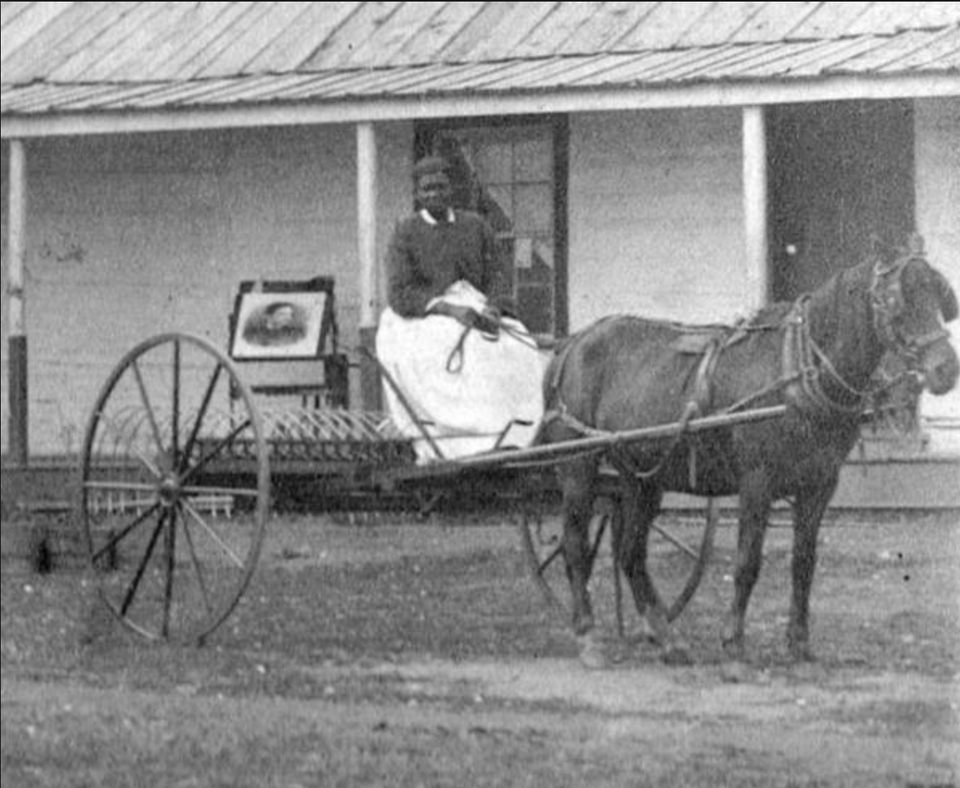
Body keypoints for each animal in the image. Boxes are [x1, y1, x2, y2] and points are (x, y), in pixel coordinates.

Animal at [540, 242, 960, 664]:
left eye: (939, 296)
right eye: (896, 300)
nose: (947, 369)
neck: (799, 368)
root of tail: (570, 344)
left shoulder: (819, 484)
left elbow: (803, 562)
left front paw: (798, 641)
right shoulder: (757, 481)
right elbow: (747, 562)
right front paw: (733, 640)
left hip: (641, 475)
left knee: (630, 553)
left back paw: (667, 637)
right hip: (578, 465)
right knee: (575, 545)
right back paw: (589, 635)